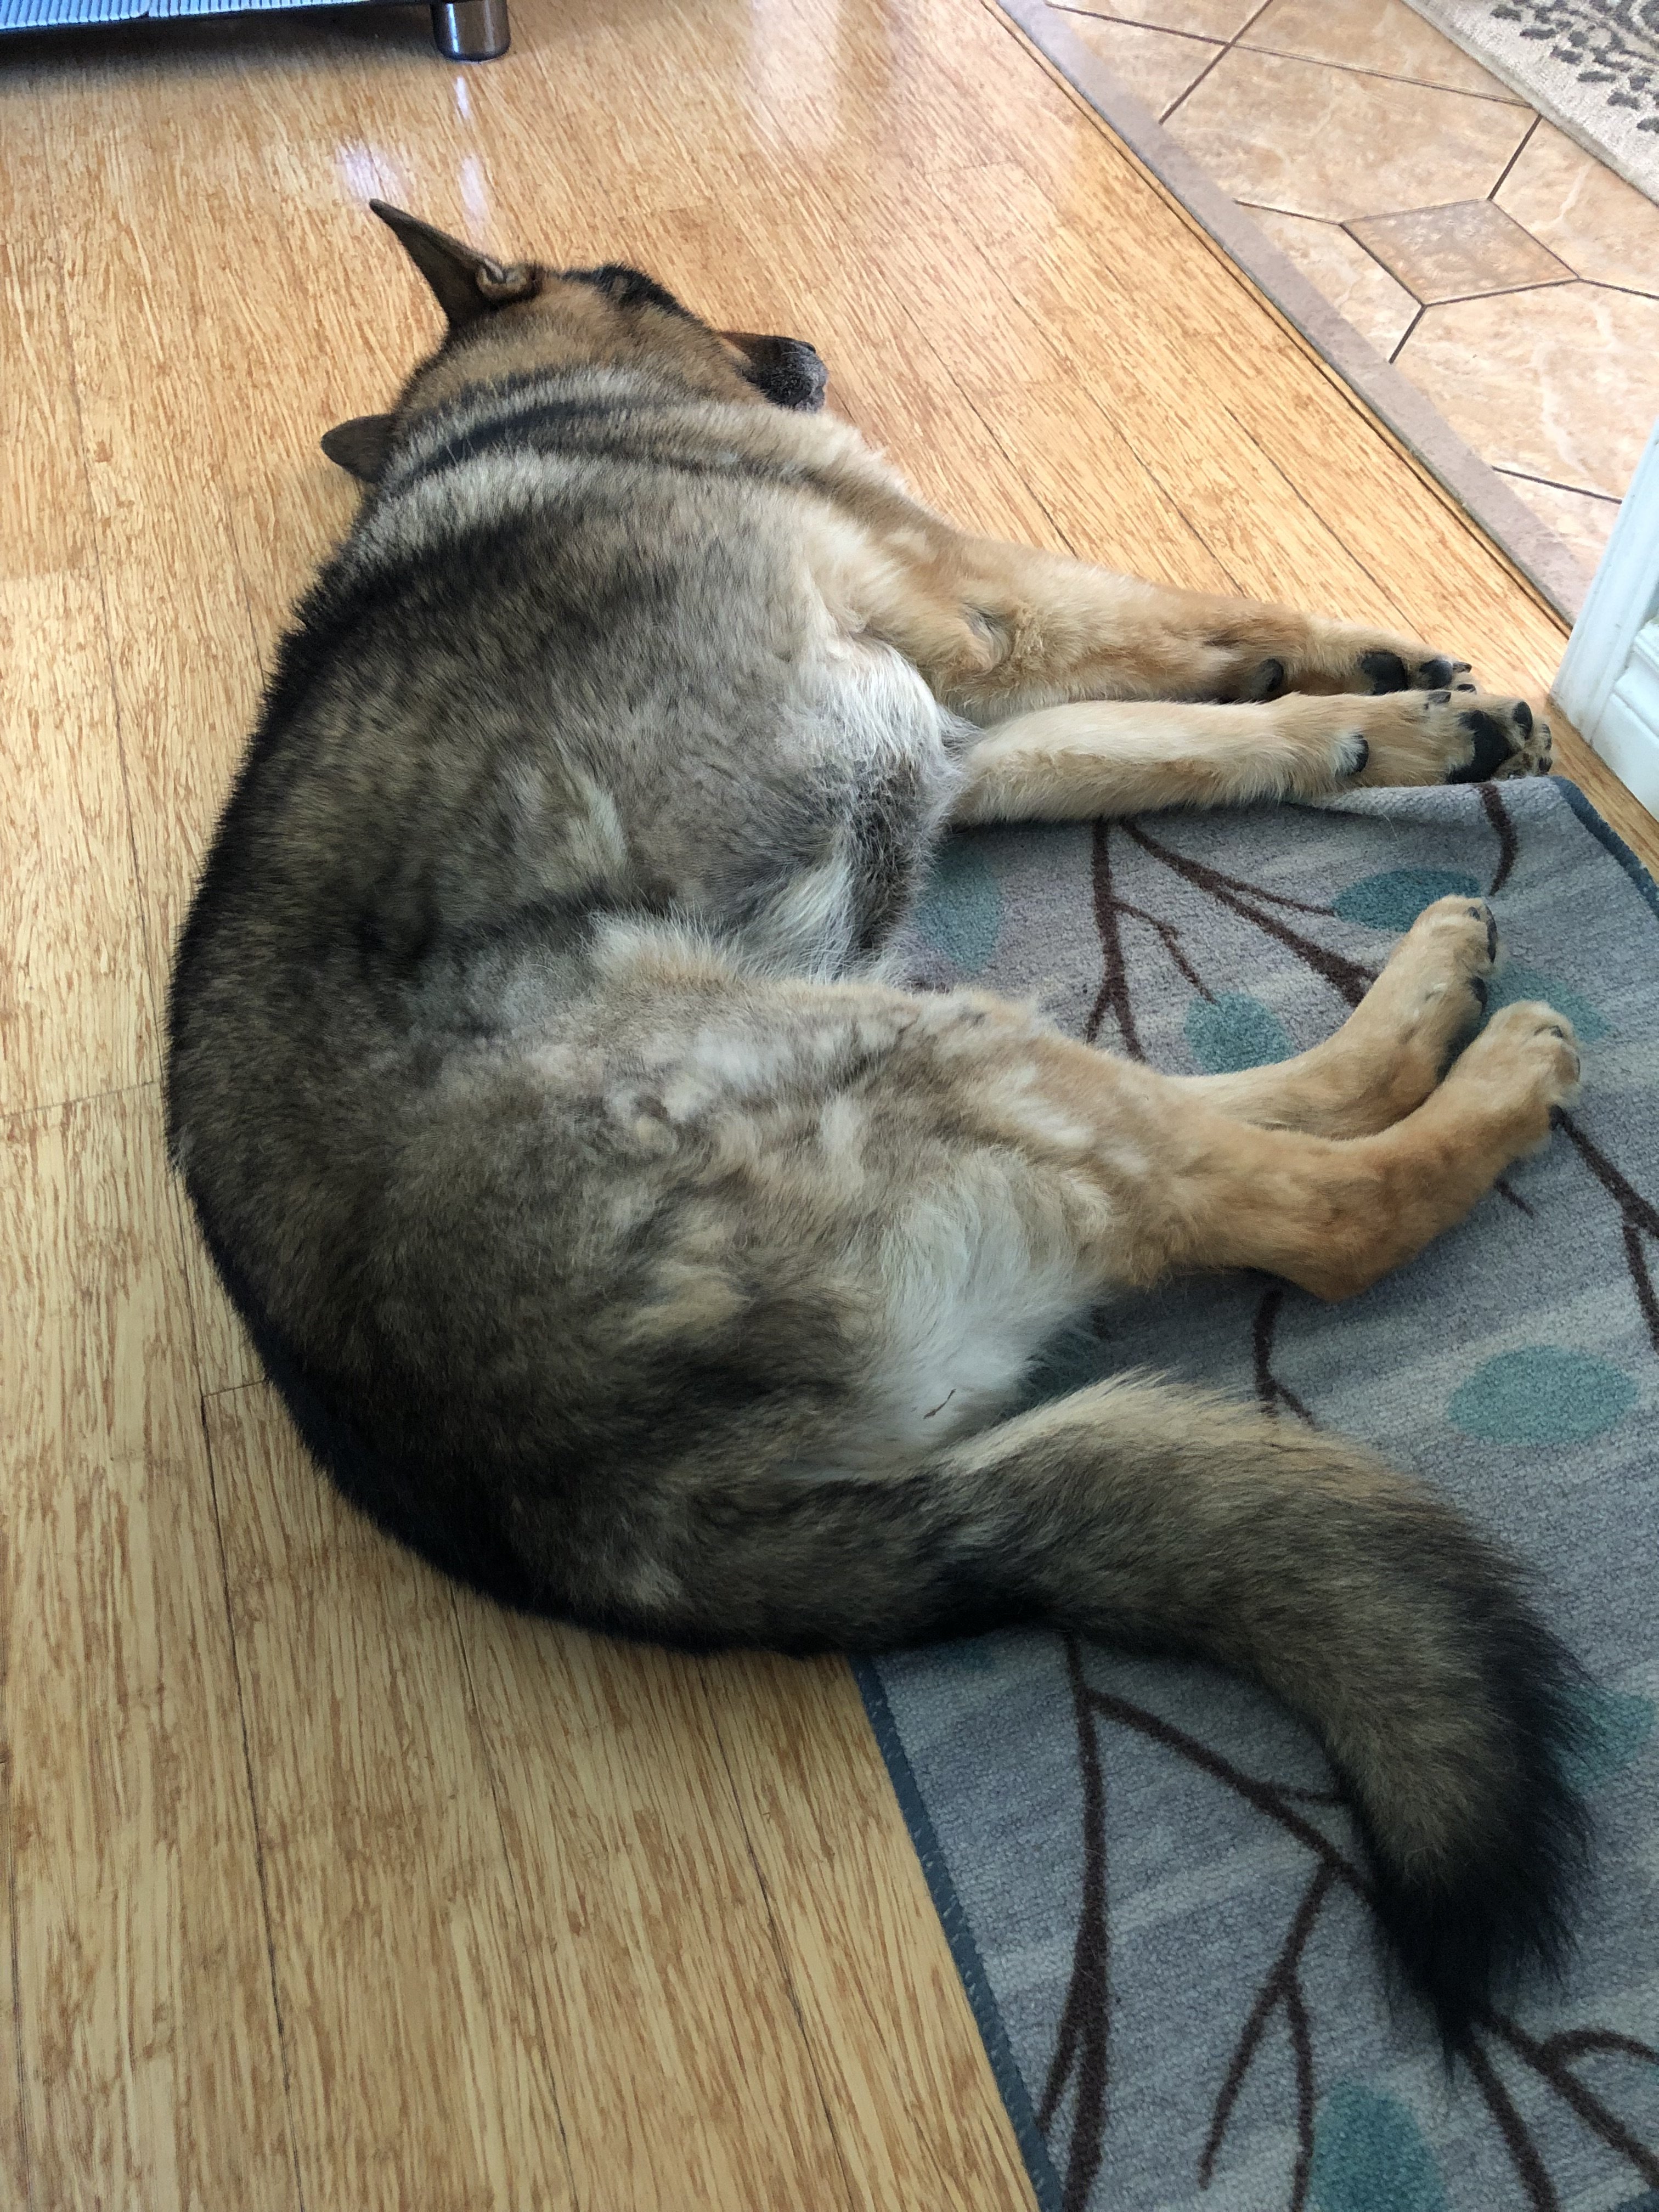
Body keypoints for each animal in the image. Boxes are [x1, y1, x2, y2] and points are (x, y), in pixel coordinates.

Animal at [166, 202, 1589, 2047]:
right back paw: (1473, 1057)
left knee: (1228, 1132)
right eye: (649, 281)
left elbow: (1227, 734)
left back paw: (1413, 997)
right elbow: (1195, 614)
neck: (520, 411)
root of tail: (588, 1516)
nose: (801, 349)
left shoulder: (974, 739)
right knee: (1308, 1212)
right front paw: (1374, 669)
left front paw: (1387, 714)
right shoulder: (985, 611)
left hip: (950, 1049)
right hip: (896, 1048)